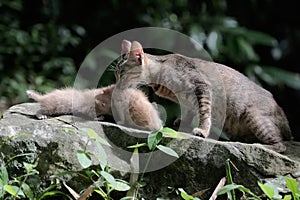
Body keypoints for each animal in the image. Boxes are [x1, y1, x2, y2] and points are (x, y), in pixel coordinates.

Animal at [113, 39, 292, 152]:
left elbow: (204, 112)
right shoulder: (186, 101)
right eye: (115, 74)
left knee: (281, 145)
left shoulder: (202, 87)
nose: (116, 85)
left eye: (122, 74)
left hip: (255, 117)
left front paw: (202, 131)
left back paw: (260, 145)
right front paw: (181, 123)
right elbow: (189, 113)